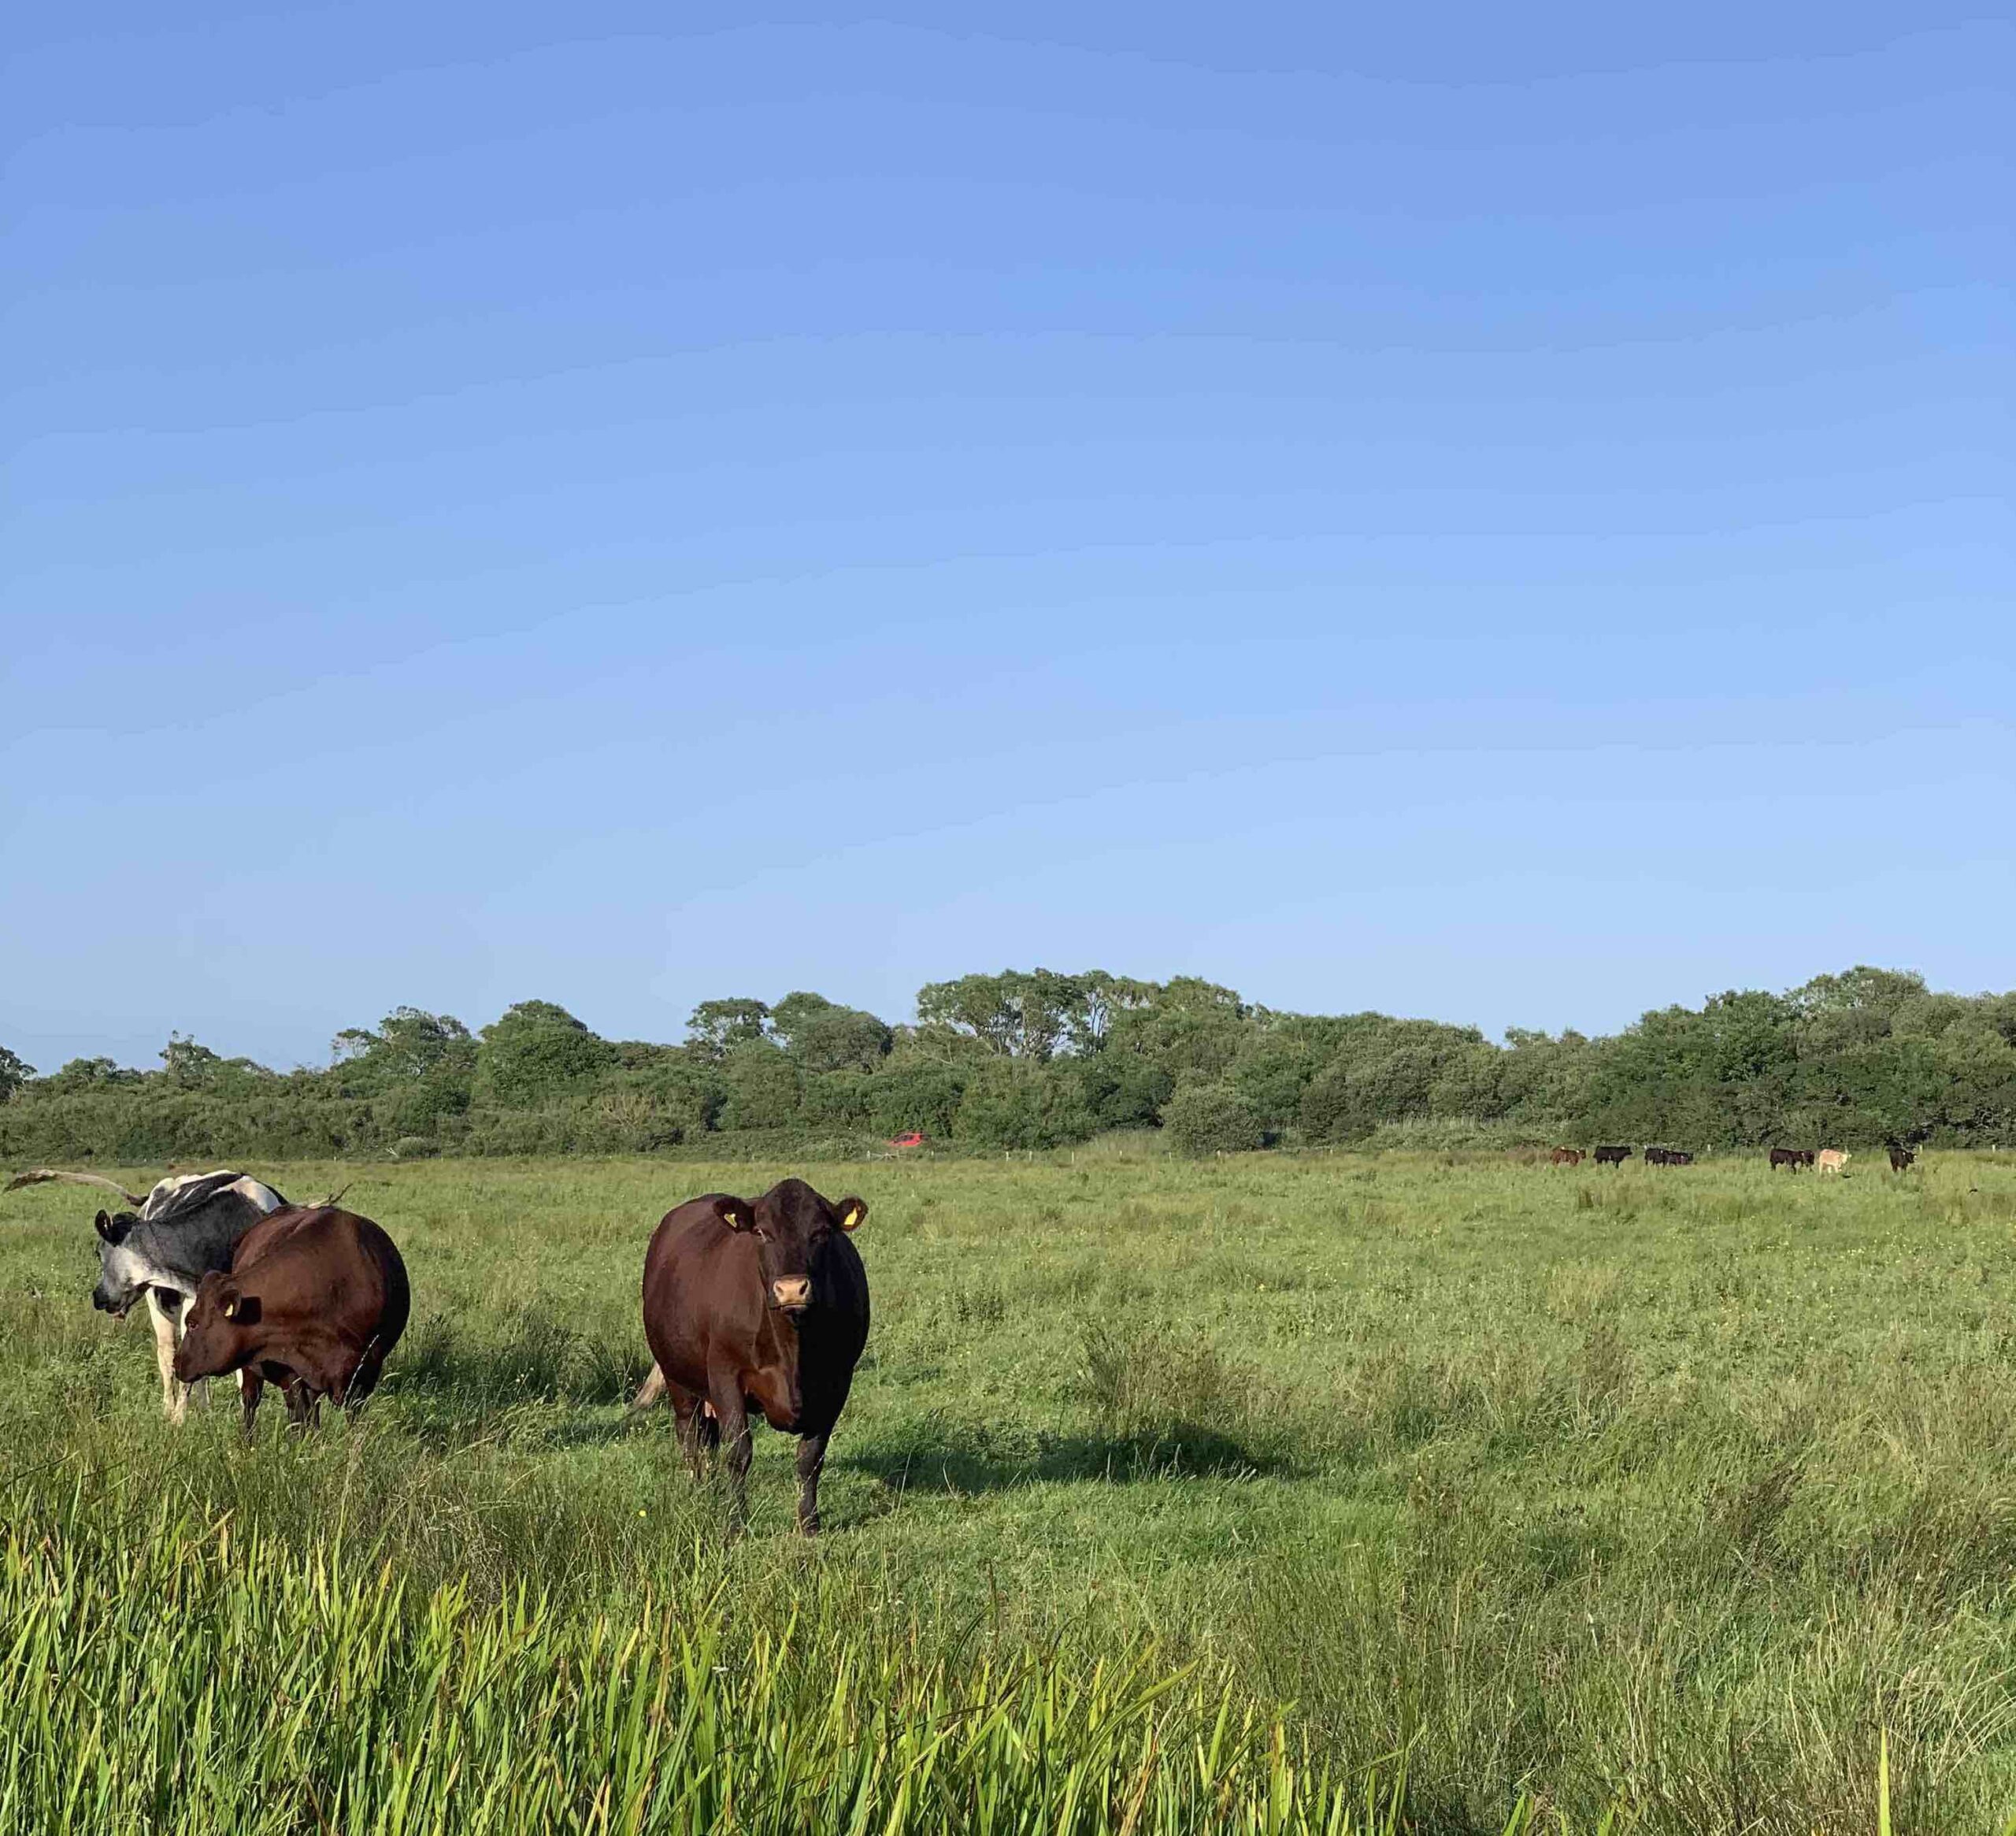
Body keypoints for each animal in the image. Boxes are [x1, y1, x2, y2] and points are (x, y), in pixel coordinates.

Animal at [6, 1160, 292, 1419]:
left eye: (98, 1253)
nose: (97, 1297)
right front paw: (178, 1420)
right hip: (158, 1308)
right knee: (167, 1356)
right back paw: (174, 1410)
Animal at [173, 1209, 409, 1434]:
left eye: (192, 1323)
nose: (176, 1363)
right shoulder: (289, 1368)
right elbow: (298, 1415)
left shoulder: (368, 1367)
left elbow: (354, 1417)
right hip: (251, 1370)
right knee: (251, 1403)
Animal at [641, 1177, 870, 1539]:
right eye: (762, 1232)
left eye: (821, 1232)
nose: (791, 1290)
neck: (793, 1348)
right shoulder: (726, 1376)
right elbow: (739, 1452)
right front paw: (736, 1524)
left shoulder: (837, 1383)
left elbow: (811, 1457)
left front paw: (809, 1524)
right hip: (678, 1378)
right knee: (690, 1435)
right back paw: (696, 1493)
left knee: (708, 1440)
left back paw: (712, 1492)